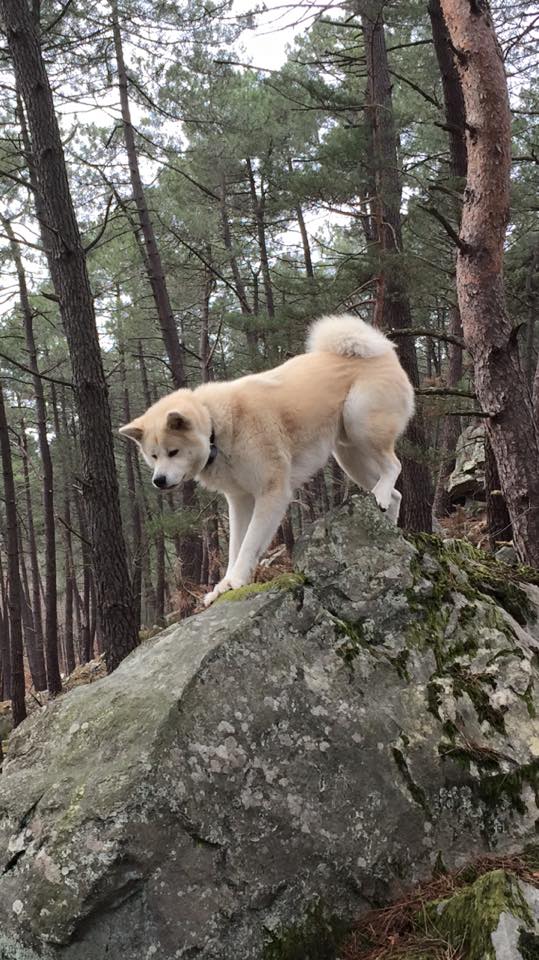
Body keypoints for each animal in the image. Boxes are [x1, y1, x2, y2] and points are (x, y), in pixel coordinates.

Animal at [120, 316, 416, 604]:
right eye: (153, 456)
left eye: (173, 452)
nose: (158, 481)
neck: (216, 427)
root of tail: (383, 351)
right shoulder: (240, 500)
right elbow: (236, 546)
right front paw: (224, 585)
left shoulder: (271, 492)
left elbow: (249, 543)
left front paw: (236, 580)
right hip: (349, 455)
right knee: (398, 494)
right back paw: (387, 523)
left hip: (360, 424)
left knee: (395, 466)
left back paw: (381, 494)